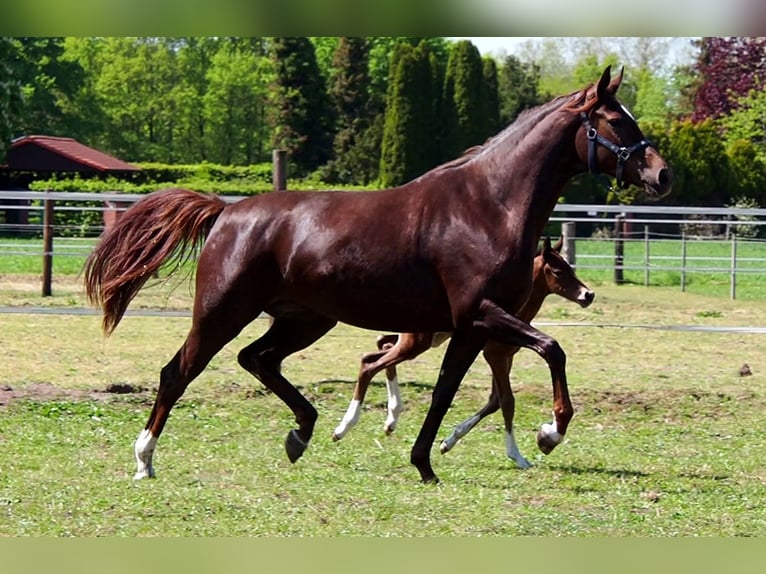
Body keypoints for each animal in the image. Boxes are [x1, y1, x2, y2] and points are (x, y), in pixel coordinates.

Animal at [332, 236, 596, 470]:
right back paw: (347, 427)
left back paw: (389, 420)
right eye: (558, 271)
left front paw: (448, 442)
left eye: (570, 267)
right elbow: (507, 402)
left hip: (416, 340)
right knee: (370, 362)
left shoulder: (505, 357)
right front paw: (518, 455)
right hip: (416, 342)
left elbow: (495, 401)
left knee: (379, 348)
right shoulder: (495, 355)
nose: (588, 294)